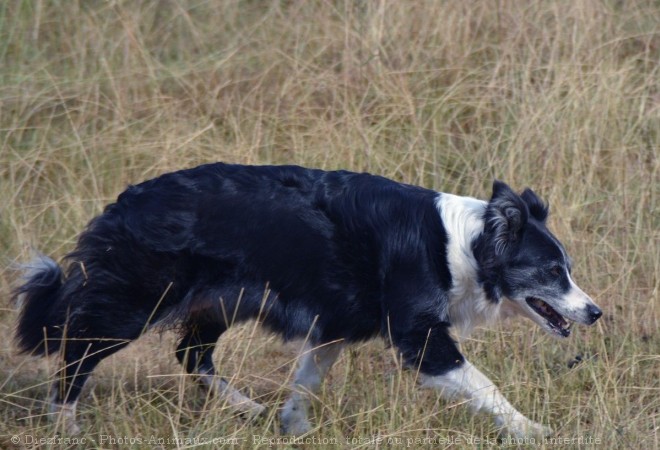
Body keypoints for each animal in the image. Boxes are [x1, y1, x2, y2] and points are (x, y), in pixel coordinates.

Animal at [16, 164, 604, 436]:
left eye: (568, 271)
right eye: (553, 273)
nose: (595, 312)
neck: (467, 244)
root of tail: (123, 203)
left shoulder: (336, 323)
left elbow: (307, 378)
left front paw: (293, 426)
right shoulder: (420, 336)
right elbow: (484, 385)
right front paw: (534, 430)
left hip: (222, 299)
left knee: (190, 353)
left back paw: (248, 407)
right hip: (139, 300)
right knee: (79, 347)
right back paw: (65, 423)